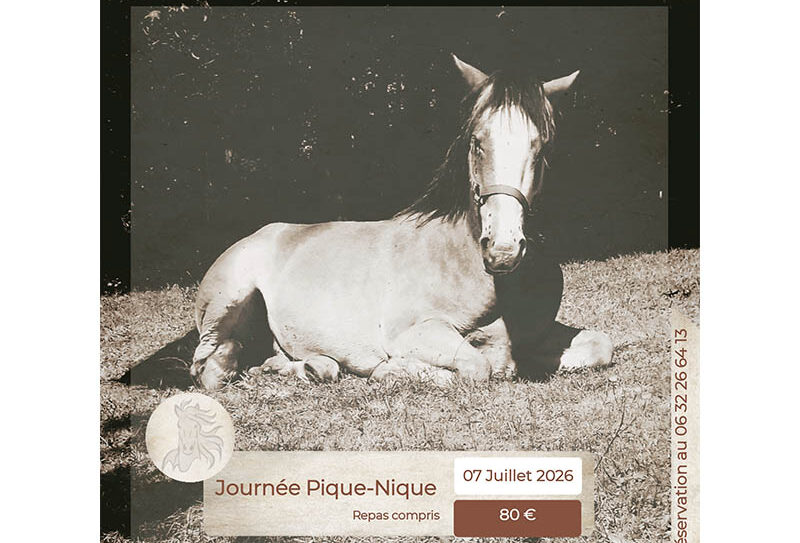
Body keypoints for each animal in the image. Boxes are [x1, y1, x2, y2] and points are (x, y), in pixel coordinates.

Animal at [189, 54, 613, 390]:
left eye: (540, 146)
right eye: (477, 141)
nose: (503, 250)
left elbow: (601, 346)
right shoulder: (415, 333)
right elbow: (477, 366)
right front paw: (390, 371)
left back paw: (311, 367)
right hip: (228, 302)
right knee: (211, 366)